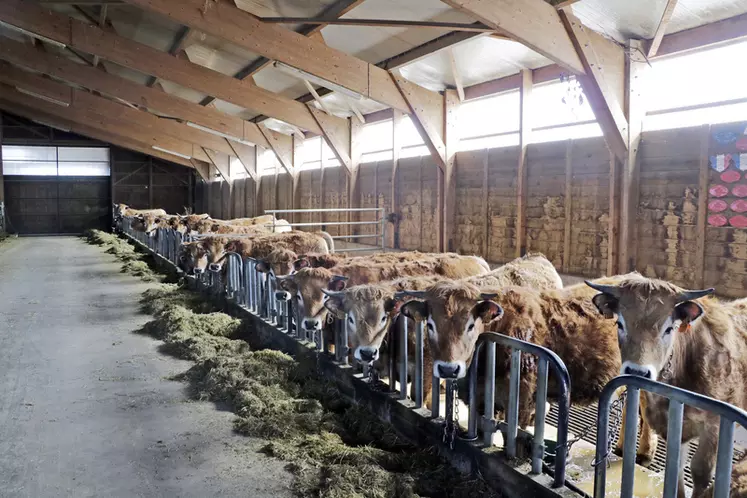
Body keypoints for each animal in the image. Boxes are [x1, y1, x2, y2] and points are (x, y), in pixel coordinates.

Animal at [400, 272, 656, 462]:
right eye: (430, 324)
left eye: (471, 325)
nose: (448, 369)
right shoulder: (480, 400)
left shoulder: (522, 399)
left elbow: (515, 436)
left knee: (645, 408)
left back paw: (644, 452)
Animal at [588, 274, 744, 496]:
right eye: (620, 324)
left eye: (669, 329)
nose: (637, 371)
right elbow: (674, 472)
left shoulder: (715, 426)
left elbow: (700, 472)